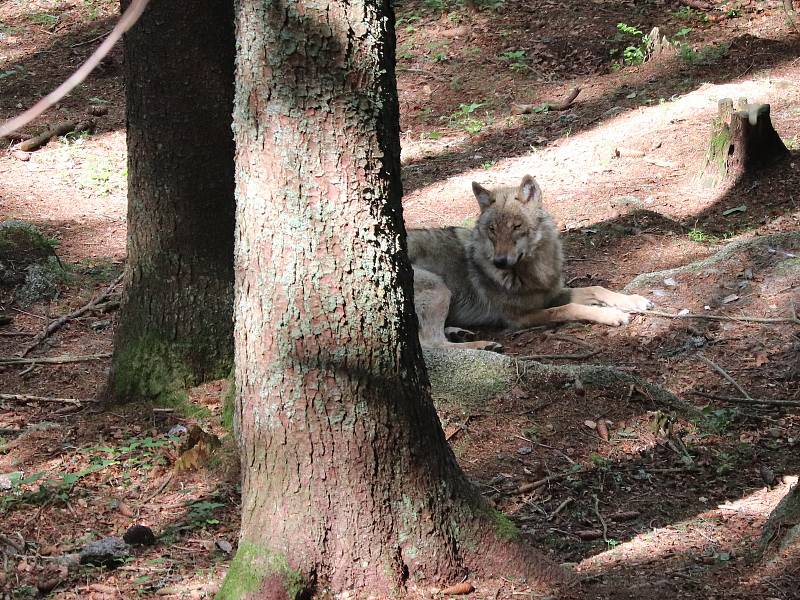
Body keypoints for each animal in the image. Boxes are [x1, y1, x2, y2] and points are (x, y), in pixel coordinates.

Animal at [410, 173, 652, 352]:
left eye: (516, 226)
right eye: (492, 230)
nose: (499, 262)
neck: (533, 270)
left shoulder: (549, 293)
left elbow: (596, 288)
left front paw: (634, 301)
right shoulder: (520, 317)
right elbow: (568, 308)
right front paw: (611, 315)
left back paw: (458, 332)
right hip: (439, 287)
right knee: (431, 343)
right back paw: (483, 345)